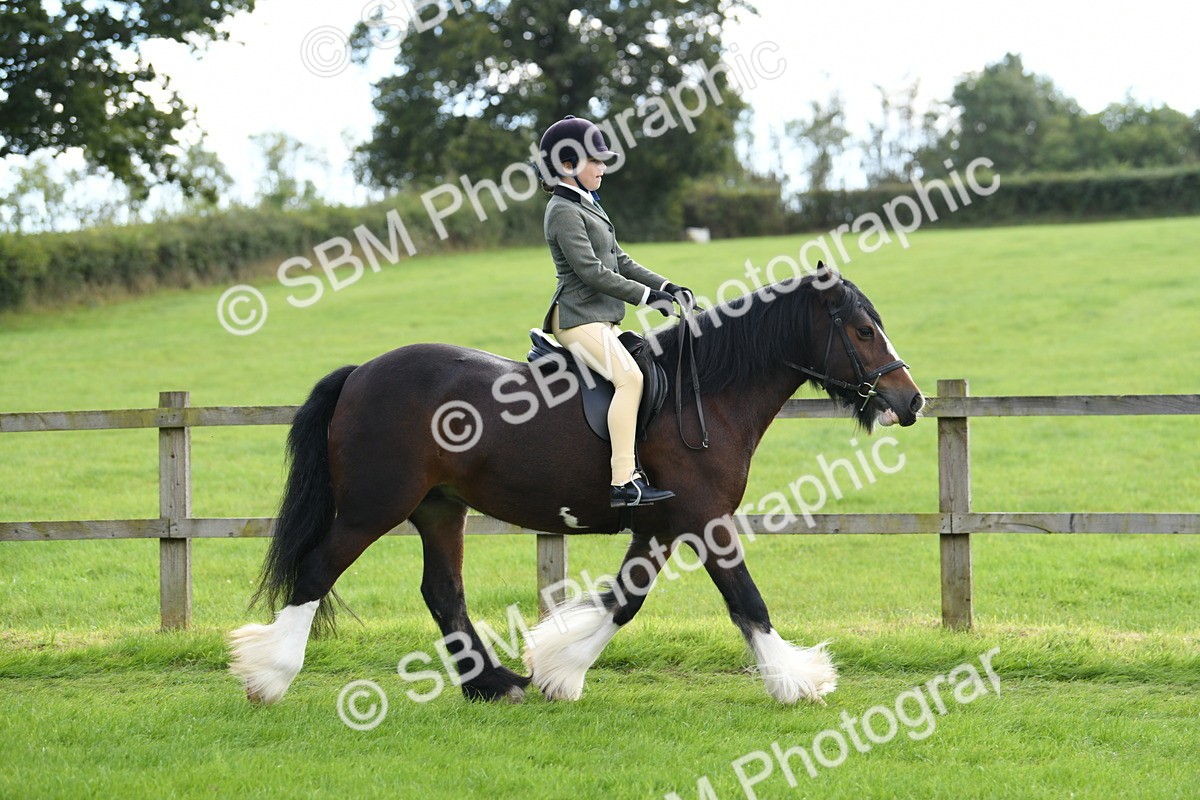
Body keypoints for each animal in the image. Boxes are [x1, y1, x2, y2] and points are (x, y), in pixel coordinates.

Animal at [228, 267, 924, 706]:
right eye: (863, 330)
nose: (910, 400)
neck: (706, 394)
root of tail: (359, 374)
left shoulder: (659, 528)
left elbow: (625, 602)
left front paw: (559, 671)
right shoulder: (705, 521)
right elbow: (747, 601)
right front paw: (797, 680)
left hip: (439, 509)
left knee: (442, 592)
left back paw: (495, 684)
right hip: (372, 508)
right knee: (317, 570)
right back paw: (269, 676)